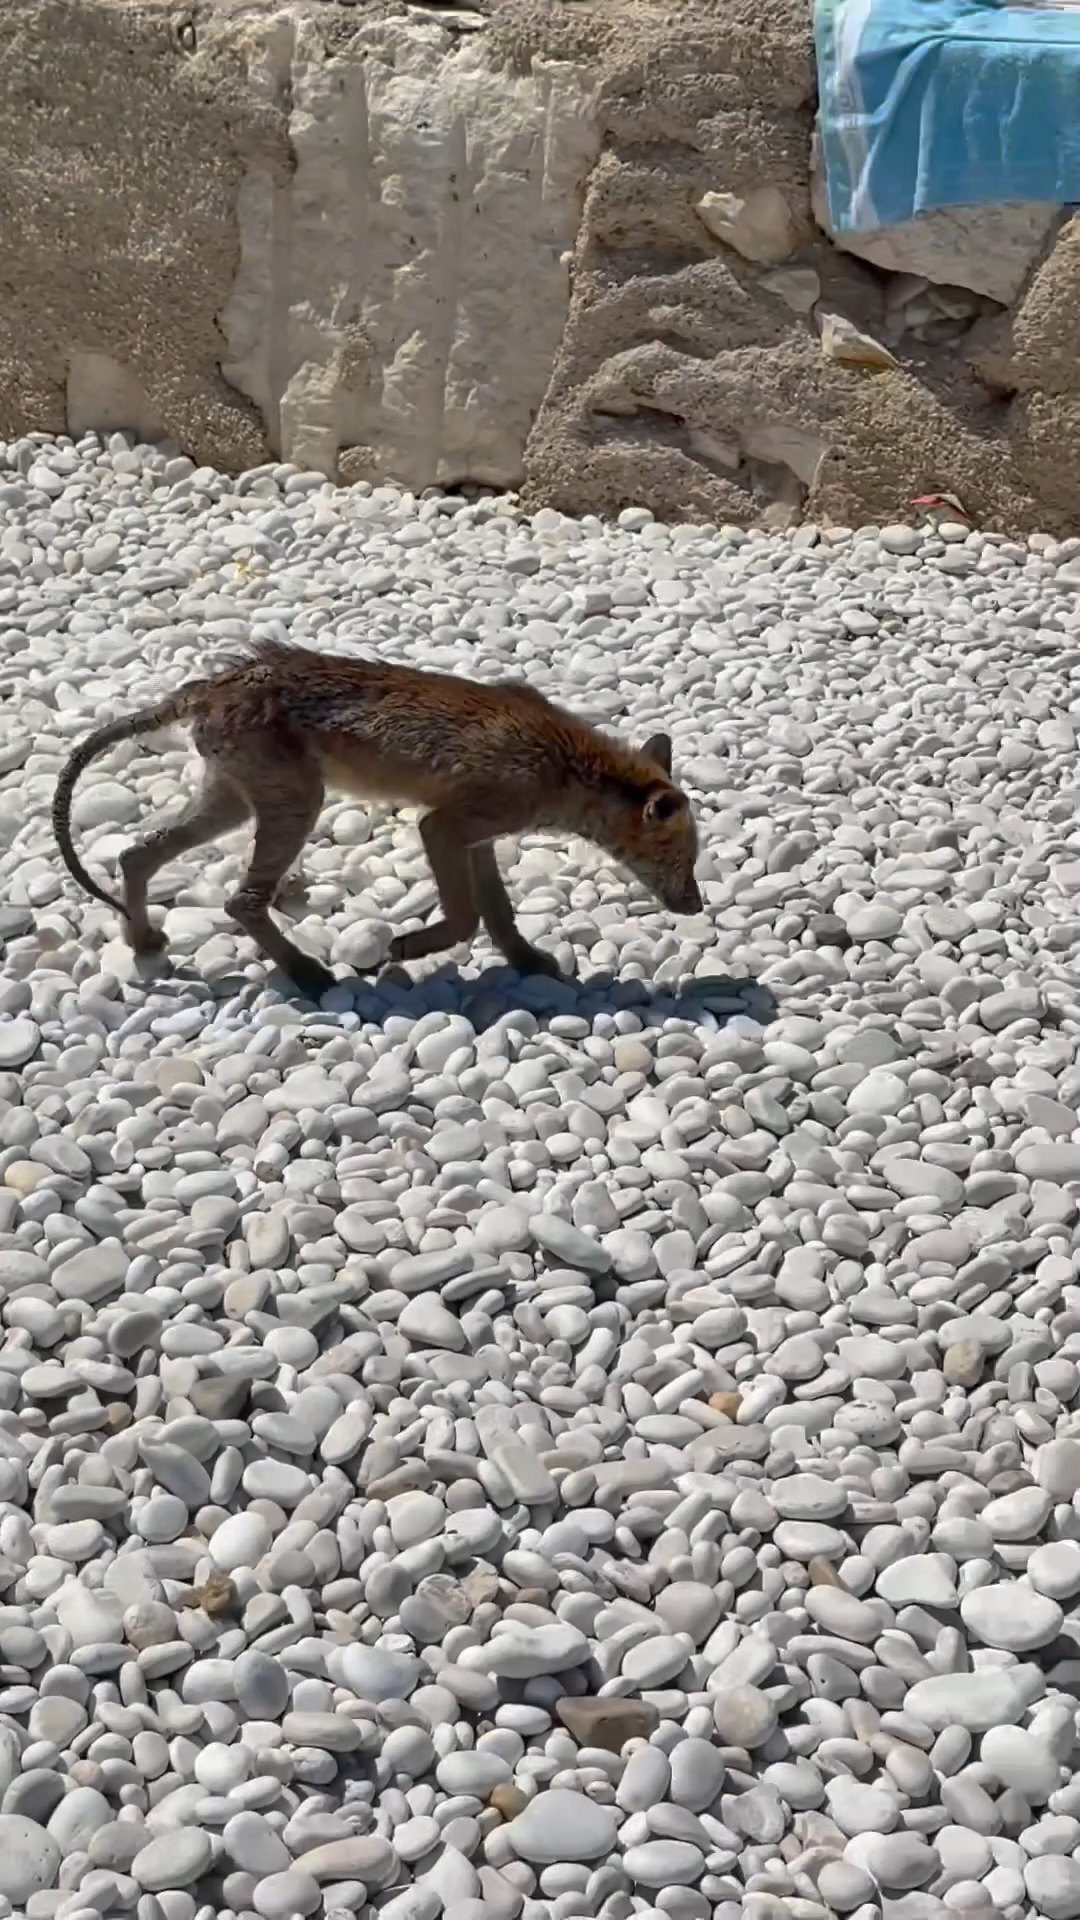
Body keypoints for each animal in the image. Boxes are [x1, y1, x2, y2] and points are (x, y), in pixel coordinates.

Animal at [51, 638, 703, 1002]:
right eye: (681, 858)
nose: (698, 907)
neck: (567, 765)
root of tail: (208, 685)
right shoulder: (442, 827)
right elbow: (464, 919)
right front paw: (405, 947)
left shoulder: (477, 838)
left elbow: (497, 915)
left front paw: (528, 964)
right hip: (295, 807)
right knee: (240, 900)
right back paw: (308, 975)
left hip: (236, 804)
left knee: (137, 852)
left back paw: (143, 942)